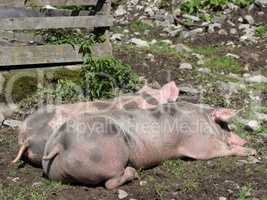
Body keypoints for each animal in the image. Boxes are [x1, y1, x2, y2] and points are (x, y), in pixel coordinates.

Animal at [42, 101, 255, 189]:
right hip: (108, 156)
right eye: (225, 125)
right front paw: (251, 151)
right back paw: (133, 173)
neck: (202, 118)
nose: (245, 139)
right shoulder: (198, 143)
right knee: (110, 182)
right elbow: (219, 149)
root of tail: (60, 142)